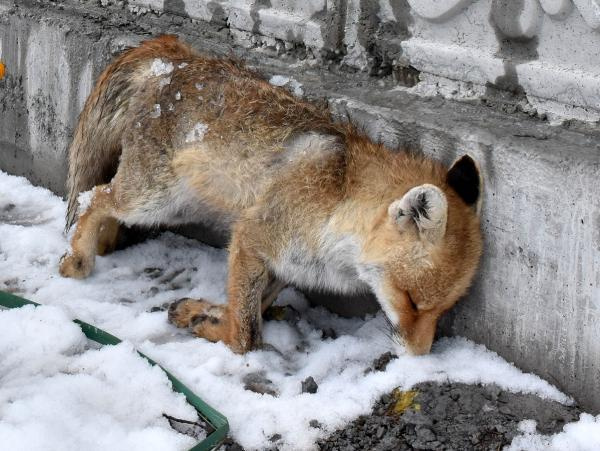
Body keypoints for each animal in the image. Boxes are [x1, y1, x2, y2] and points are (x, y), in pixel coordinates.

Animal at [59, 35, 482, 356]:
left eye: (441, 310)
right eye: (411, 301)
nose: (419, 357)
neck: (338, 210)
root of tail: (175, 57)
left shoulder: (285, 265)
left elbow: (248, 307)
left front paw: (202, 313)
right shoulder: (250, 237)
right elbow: (246, 335)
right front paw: (217, 330)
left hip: (177, 206)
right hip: (153, 200)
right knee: (93, 198)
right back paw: (79, 258)